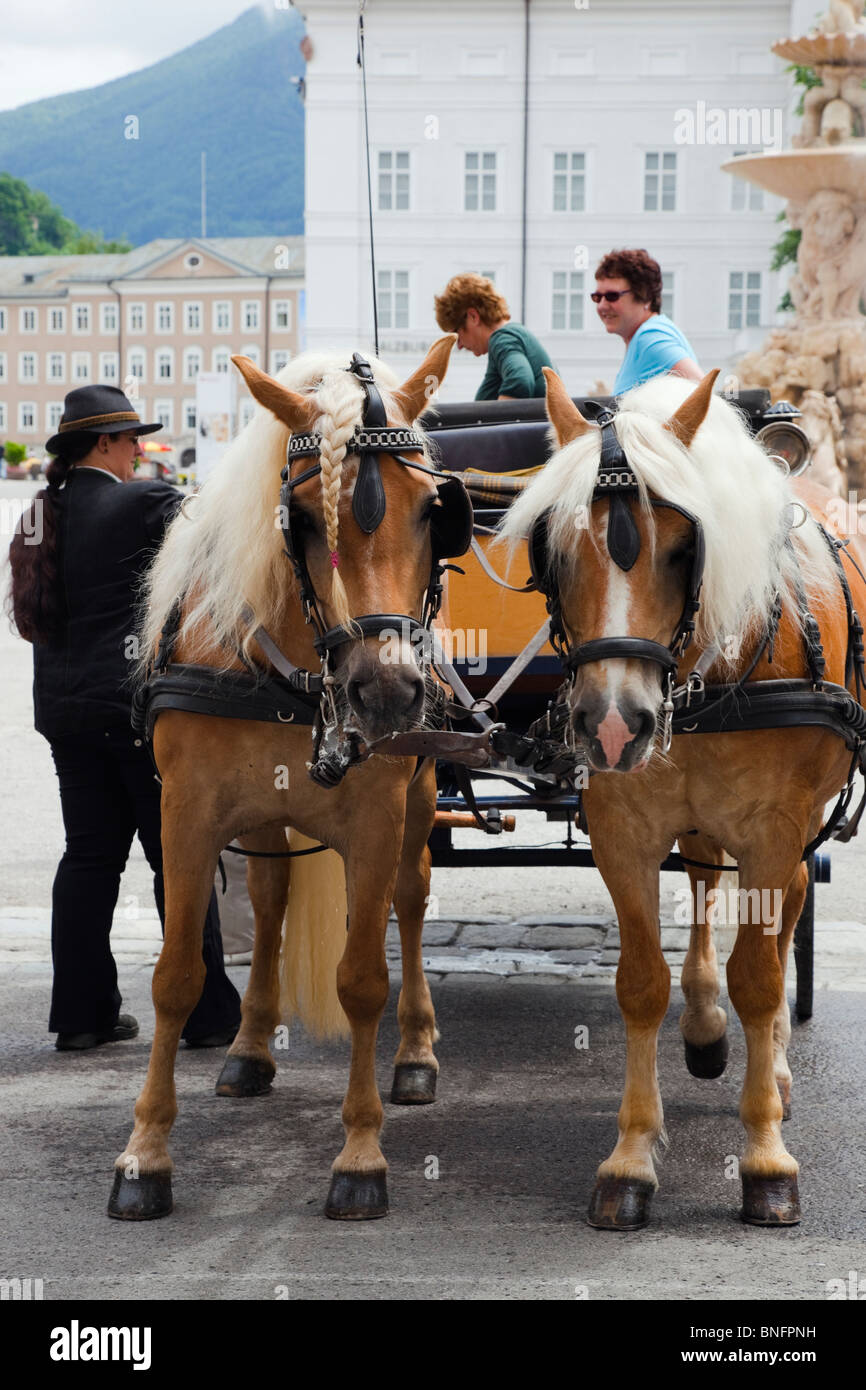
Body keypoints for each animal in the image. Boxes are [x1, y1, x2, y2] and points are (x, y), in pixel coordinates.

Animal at [108, 335, 471, 1223]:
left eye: (434, 510)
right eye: (301, 518)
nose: (387, 689)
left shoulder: (375, 818)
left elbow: (362, 979)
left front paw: (362, 1155)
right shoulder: (186, 814)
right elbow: (175, 977)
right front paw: (145, 1154)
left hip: (417, 798)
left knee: (410, 903)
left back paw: (415, 1052)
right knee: (270, 902)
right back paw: (249, 1047)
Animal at [502, 366, 866, 1229]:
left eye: (680, 548)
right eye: (556, 551)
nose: (611, 722)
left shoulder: (774, 830)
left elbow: (759, 978)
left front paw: (765, 1157)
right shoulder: (622, 826)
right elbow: (642, 983)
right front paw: (631, 1160)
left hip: (800, 827)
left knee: (787, 909)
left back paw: (777, 1069)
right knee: (701, 884)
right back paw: (704, 1027)